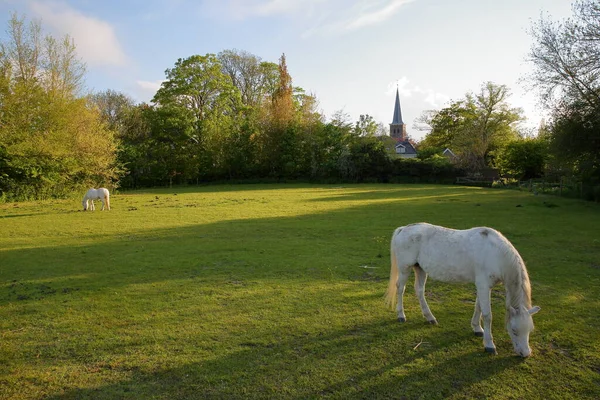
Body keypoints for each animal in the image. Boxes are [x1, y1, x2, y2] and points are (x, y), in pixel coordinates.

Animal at [386, 223, 540, 358]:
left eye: (530, 329)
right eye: (514, 330)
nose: (525, 354)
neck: (495, 253)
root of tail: (403, 229)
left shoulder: (483, 286)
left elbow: (478, 307)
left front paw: (477, 328)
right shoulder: (483, 284)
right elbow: (487, 315)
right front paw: (489, 345)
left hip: (420, 269)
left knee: (419, 290)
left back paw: (430, 317)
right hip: (405, 268)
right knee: (400, 289)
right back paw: (401, 315)